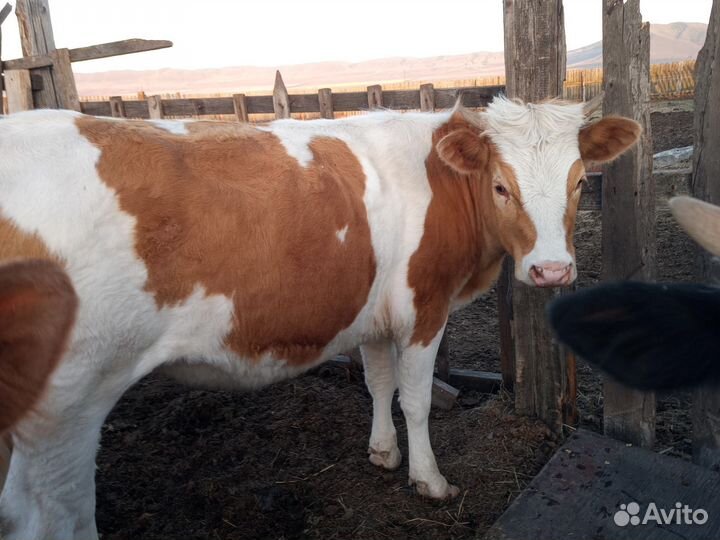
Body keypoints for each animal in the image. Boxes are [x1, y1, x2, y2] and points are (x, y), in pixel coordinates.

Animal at [0, 97, 639, 539]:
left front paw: (382, 452)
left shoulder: (375, 315)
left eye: (580, 182)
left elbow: (378, 384)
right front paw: (428, 480)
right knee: (49, 516)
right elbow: (416, 398)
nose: (552, 270)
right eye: (502, 186)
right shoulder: (423, 307)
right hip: (67, 406)